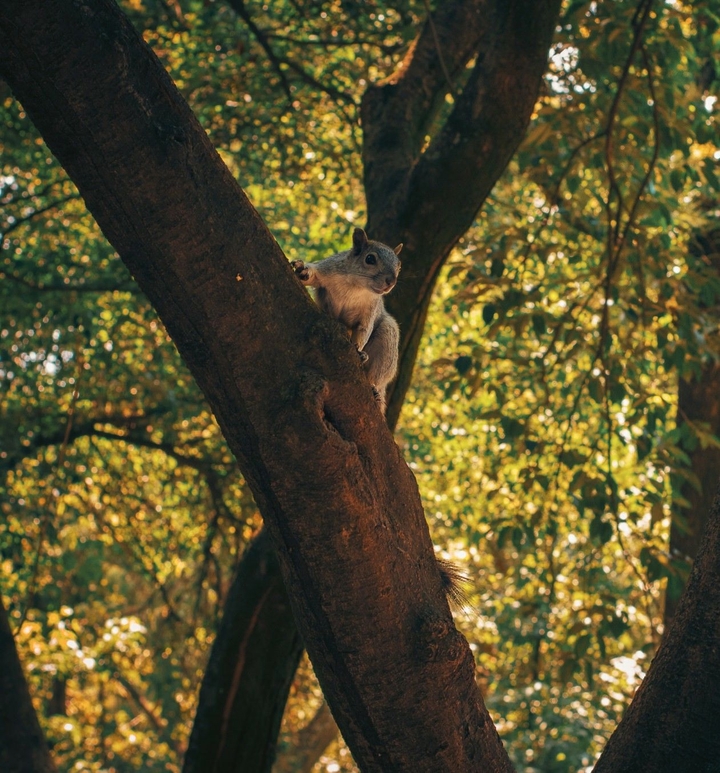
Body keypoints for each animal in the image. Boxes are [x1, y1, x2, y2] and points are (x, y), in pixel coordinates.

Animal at [291, 227, 402, 413]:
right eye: (370, 259)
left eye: (399, 266)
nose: (391, 281)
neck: (356, 286)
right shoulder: (328, 270)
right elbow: (314, 274)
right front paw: (303, 270)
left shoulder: (370, 310)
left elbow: (364, 330)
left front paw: (358, 349)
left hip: (388, 338)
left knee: (377, 376)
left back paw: (374, 387)